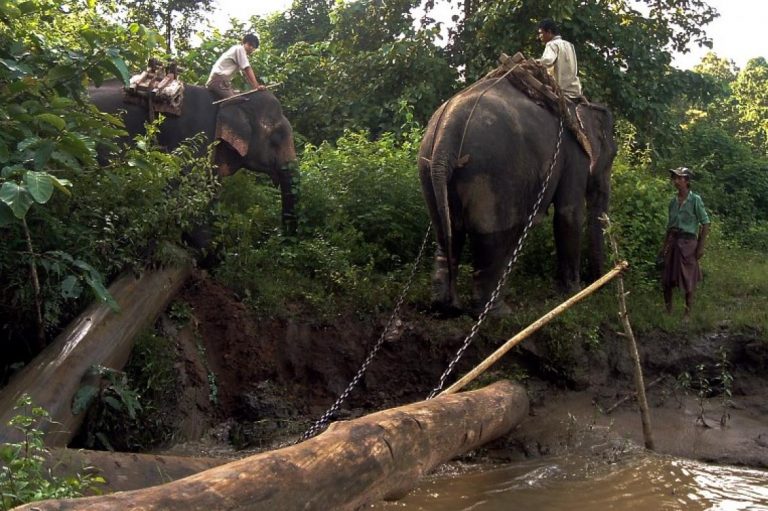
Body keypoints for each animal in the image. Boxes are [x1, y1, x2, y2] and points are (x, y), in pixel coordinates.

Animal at [420, 77, 616, 316]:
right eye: (612, 155)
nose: (596, 283)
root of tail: (447, 134)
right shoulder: (575, 155)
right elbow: (569, 214)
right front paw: (571, 293)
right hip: (491, 173)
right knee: (492, 239)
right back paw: (497, 313)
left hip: (428, 166)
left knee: (446, 232)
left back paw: (446, 307)